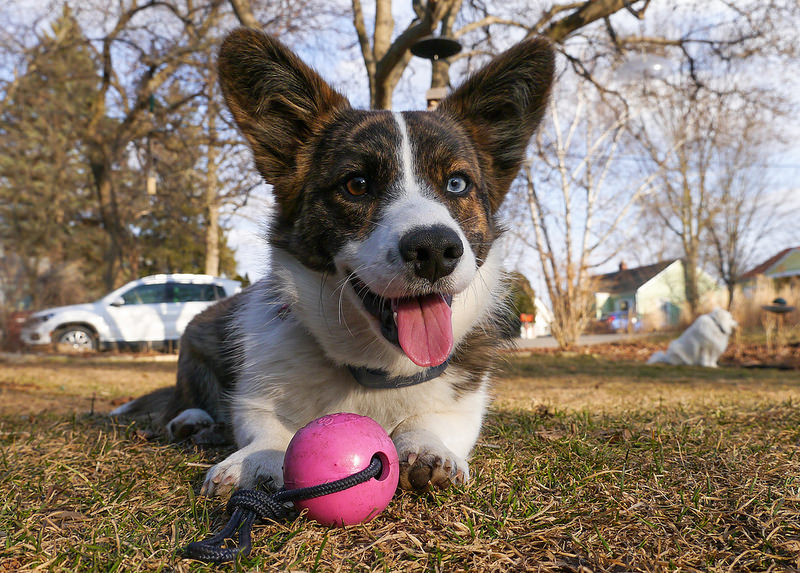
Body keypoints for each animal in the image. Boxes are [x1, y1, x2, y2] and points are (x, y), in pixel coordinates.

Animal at [109, 29, 552, 496]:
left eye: (456, 184)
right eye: (356, 184)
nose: (434, 250)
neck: (376, 367)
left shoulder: (461, 404)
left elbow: (429, 422)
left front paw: (427, 448)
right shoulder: (253, 396)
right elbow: (267, 428)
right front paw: (256, 458)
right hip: (199, 333)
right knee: (185, 399)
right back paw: (192, 420)